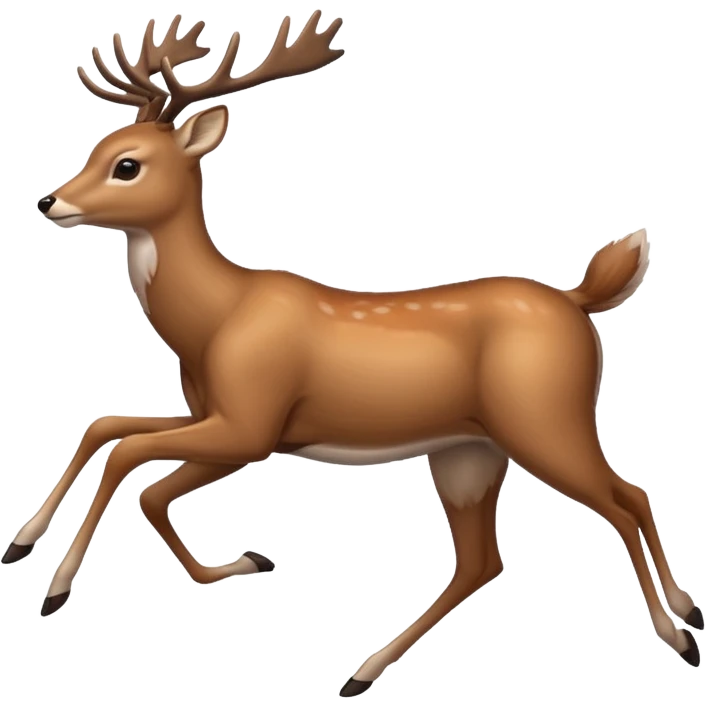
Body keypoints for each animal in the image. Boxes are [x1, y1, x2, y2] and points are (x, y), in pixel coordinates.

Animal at [14, 9, 700, 697]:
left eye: (127, 165)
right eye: (95, 148)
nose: (48, 201)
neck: (215, 319)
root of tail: (580, 302)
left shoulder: (251, 425)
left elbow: (130, 462)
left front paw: (56, 587)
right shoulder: (217, 415)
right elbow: (108, 431)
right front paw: (25, 546)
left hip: (545, 418)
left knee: (627, 498)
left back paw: (681, 629)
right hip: (469, 450)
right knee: (483, 560)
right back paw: (361, 674)